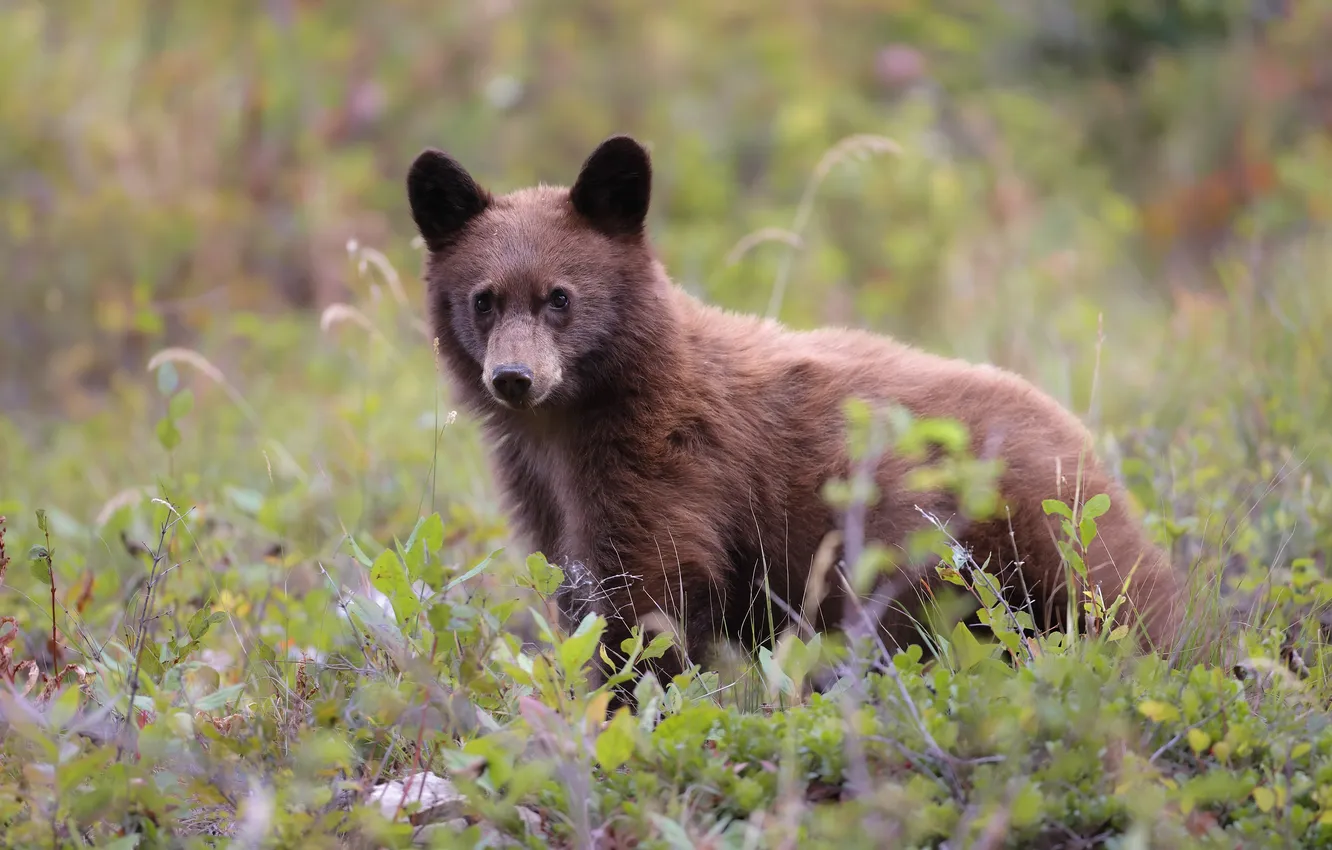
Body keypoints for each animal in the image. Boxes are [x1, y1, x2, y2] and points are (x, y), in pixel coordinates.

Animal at [405, 134, 1189, 699]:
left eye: (560, 296)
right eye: (483, 298)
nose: (514, 378)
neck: (569, 426)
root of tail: (1082, 441)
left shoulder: (666, 467)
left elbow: (651, 603)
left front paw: (627, 708)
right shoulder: (544, 496)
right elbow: (580, 592)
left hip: (1036, 535)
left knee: (1125, 607)